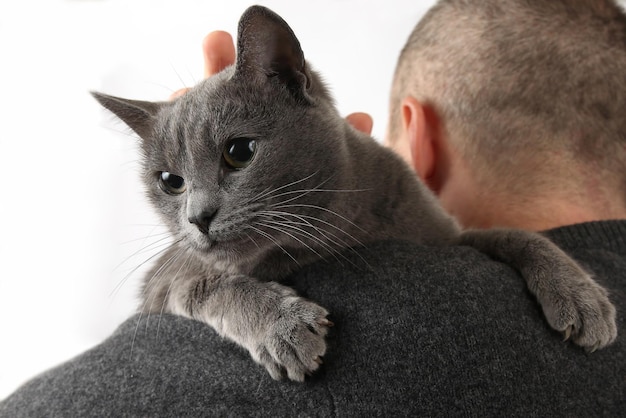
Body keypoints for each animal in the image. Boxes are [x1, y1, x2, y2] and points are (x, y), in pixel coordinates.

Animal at [92, 4, 616, 382]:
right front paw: (284, 328)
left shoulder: (445, 234)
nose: (197, 217)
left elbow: (514, 235)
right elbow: (209, 284)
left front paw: (583, 298)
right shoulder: (164, 281)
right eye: (169, 182)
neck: (337, 235)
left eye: (239, 151)